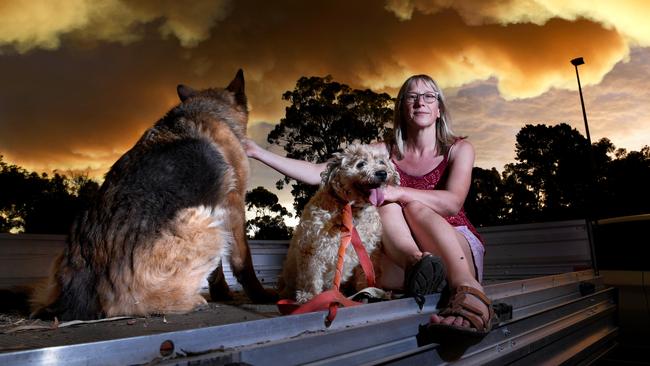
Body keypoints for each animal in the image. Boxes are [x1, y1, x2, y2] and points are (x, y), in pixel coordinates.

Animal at [31, 69, 274, 320]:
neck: (207, 109)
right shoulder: (233, 204)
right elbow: (242, 259)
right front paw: (260, 295)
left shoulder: (217, 202)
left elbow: (216, 270)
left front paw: (221, 293)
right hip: (204, 223)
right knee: (127, 305)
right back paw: (187, 301)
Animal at [280, 144, 400, 304]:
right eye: (360, 164)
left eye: (381, 162)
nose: (382, 173)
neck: (352, 210)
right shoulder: (312, 250)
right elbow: (311, 277)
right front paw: (309, 296)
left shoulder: (368, 252)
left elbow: (366, 274)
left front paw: (368, 291)